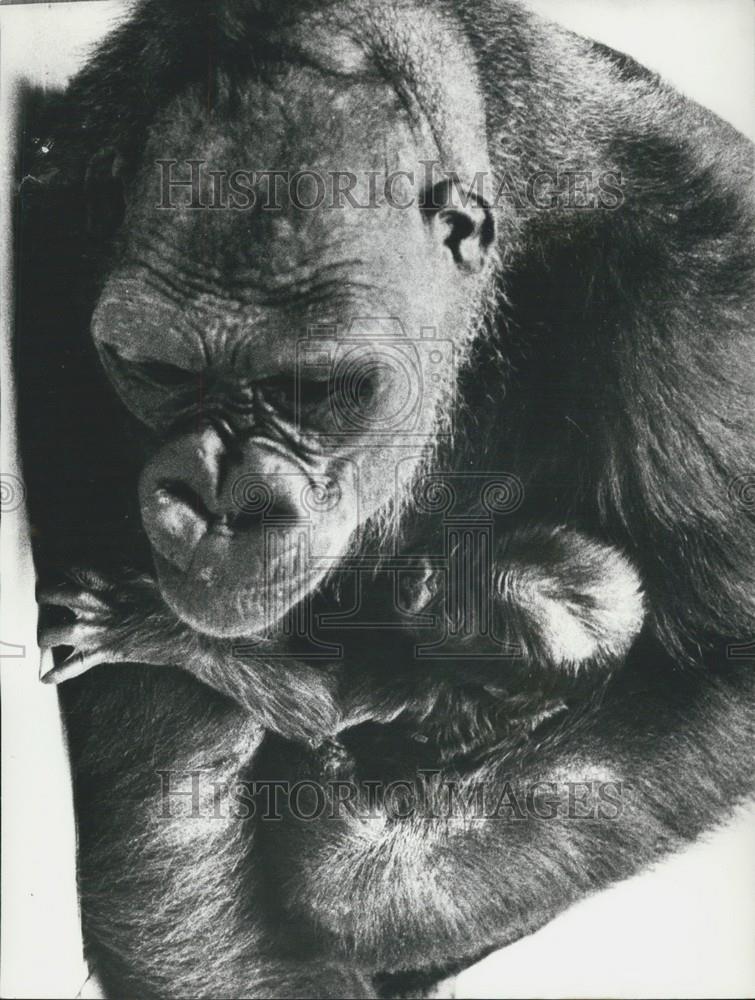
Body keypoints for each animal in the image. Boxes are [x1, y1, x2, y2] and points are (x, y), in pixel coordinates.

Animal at [14, 0, 755, 996]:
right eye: (159, 370)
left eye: (317, 389)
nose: (219, 504)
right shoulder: (52, 231)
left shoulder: (711, 308)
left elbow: (716, 666)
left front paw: (361, 870)